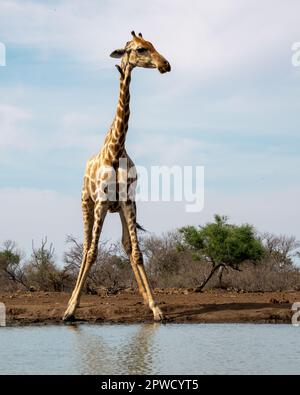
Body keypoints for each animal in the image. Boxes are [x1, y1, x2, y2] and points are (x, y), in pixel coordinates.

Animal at [62, 30, 171, 322]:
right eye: (140, 49)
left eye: (154, 45)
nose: (165, 64)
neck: (116, 149)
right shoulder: (100, 203)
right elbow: (92, 252)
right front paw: (70, 309)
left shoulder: (128, 202)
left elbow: (137, 252)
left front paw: (156, 307)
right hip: (86, 204)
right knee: (86, 246)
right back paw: (70, 302)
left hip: (119, 209)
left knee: (125, 246)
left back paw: (144, 298)